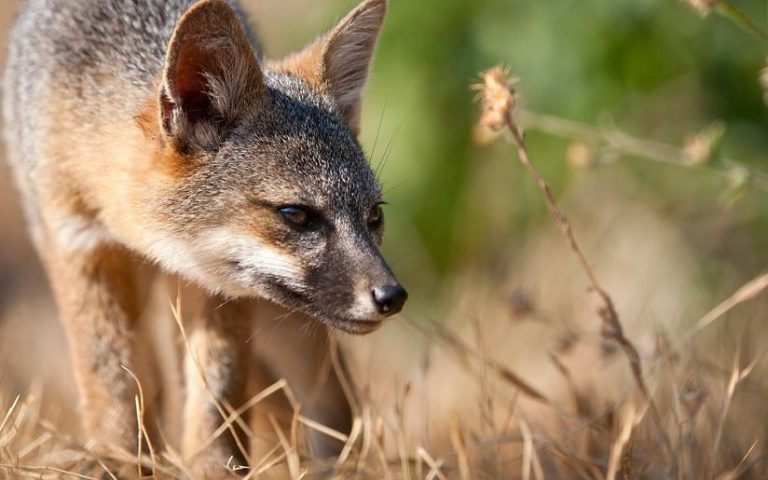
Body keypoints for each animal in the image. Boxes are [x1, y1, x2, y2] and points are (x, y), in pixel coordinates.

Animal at [3, 0, 406, 476]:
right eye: (296, 214)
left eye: (374, 216)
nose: (392, 296)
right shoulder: (78, 245)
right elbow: (110, 376)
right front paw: (120, 458)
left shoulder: (215, 287)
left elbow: (216, 390)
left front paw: (214, 467)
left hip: (285, 333)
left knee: (329, 409)